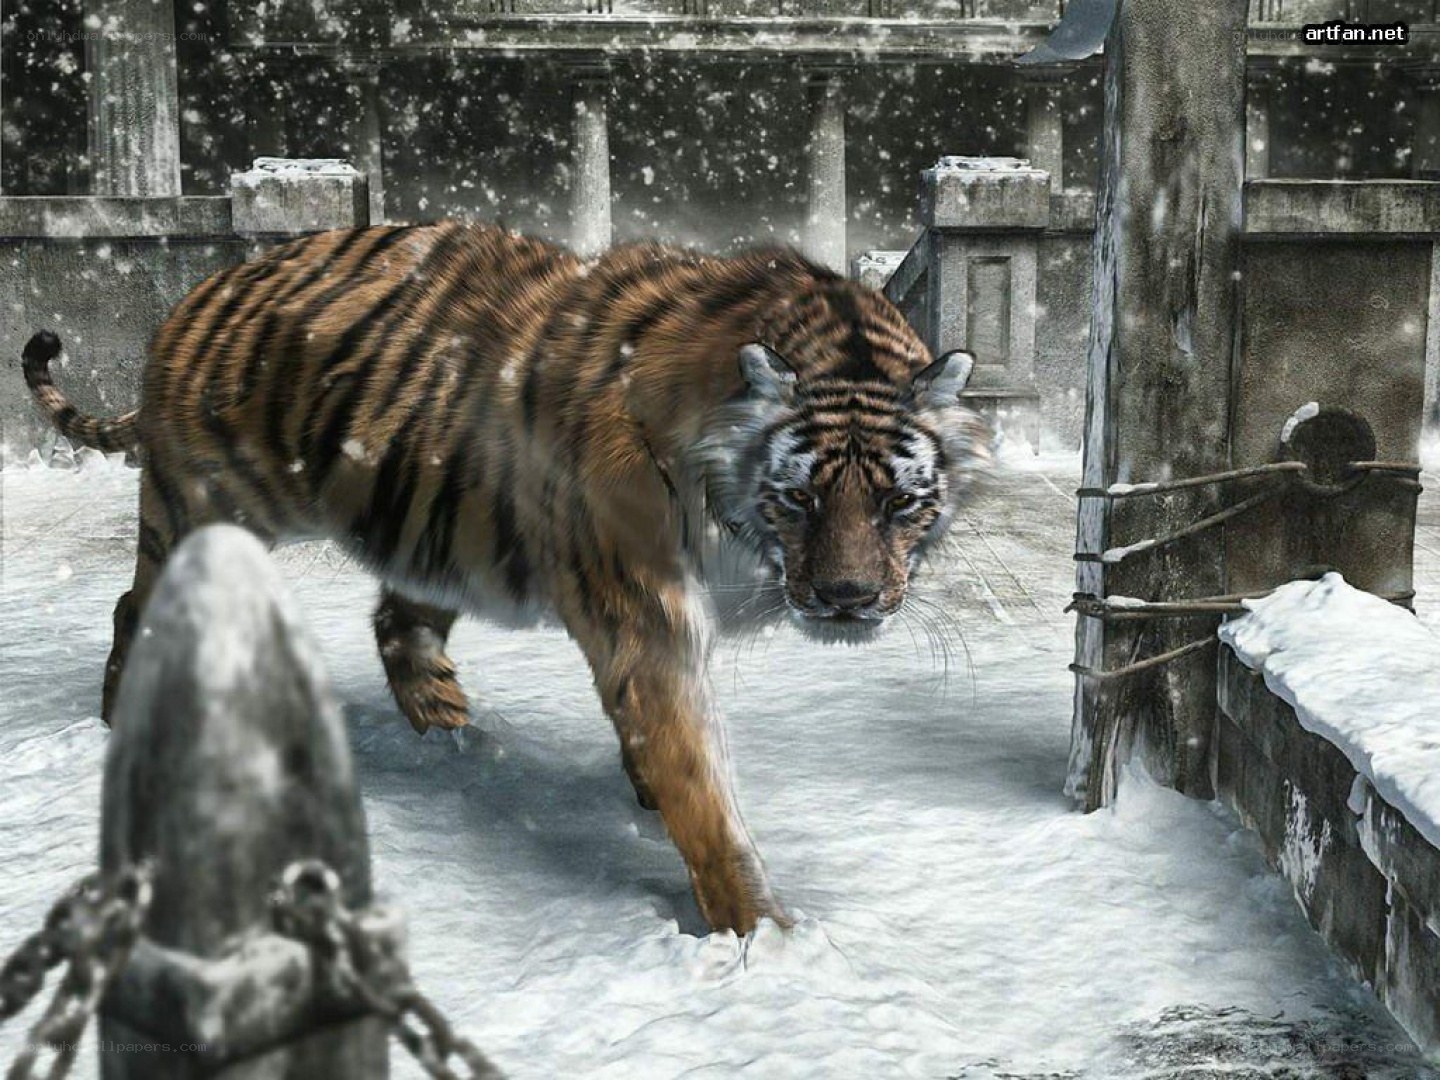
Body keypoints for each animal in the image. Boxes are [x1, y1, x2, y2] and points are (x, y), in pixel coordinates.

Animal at [23, 221, 987, 934]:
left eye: (900, 503)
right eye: (799, 496)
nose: (848, 600)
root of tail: (200, 288)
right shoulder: (648, 619)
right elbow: (700, 783)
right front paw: (765, 936)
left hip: (436, 530)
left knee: (398, 623)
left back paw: (451, 737)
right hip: (210, 505)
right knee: (135, 604)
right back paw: (125, 716)